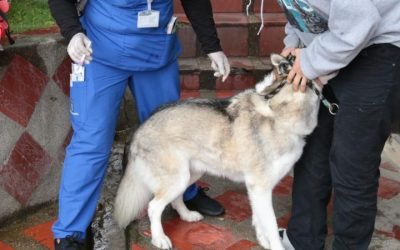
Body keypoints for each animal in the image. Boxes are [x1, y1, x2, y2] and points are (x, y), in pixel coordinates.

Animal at [112, 53, 322, 249]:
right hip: (176, 179)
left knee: (175, 199)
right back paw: (159, 239)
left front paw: (263, 241)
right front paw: (274, 244)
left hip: (190, 175)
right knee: (154, 207)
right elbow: (270, 224)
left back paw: (187, 216)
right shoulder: (260, 187)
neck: (279, 110)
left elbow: (259, 220)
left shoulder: (256, 189)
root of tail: (140, 127)